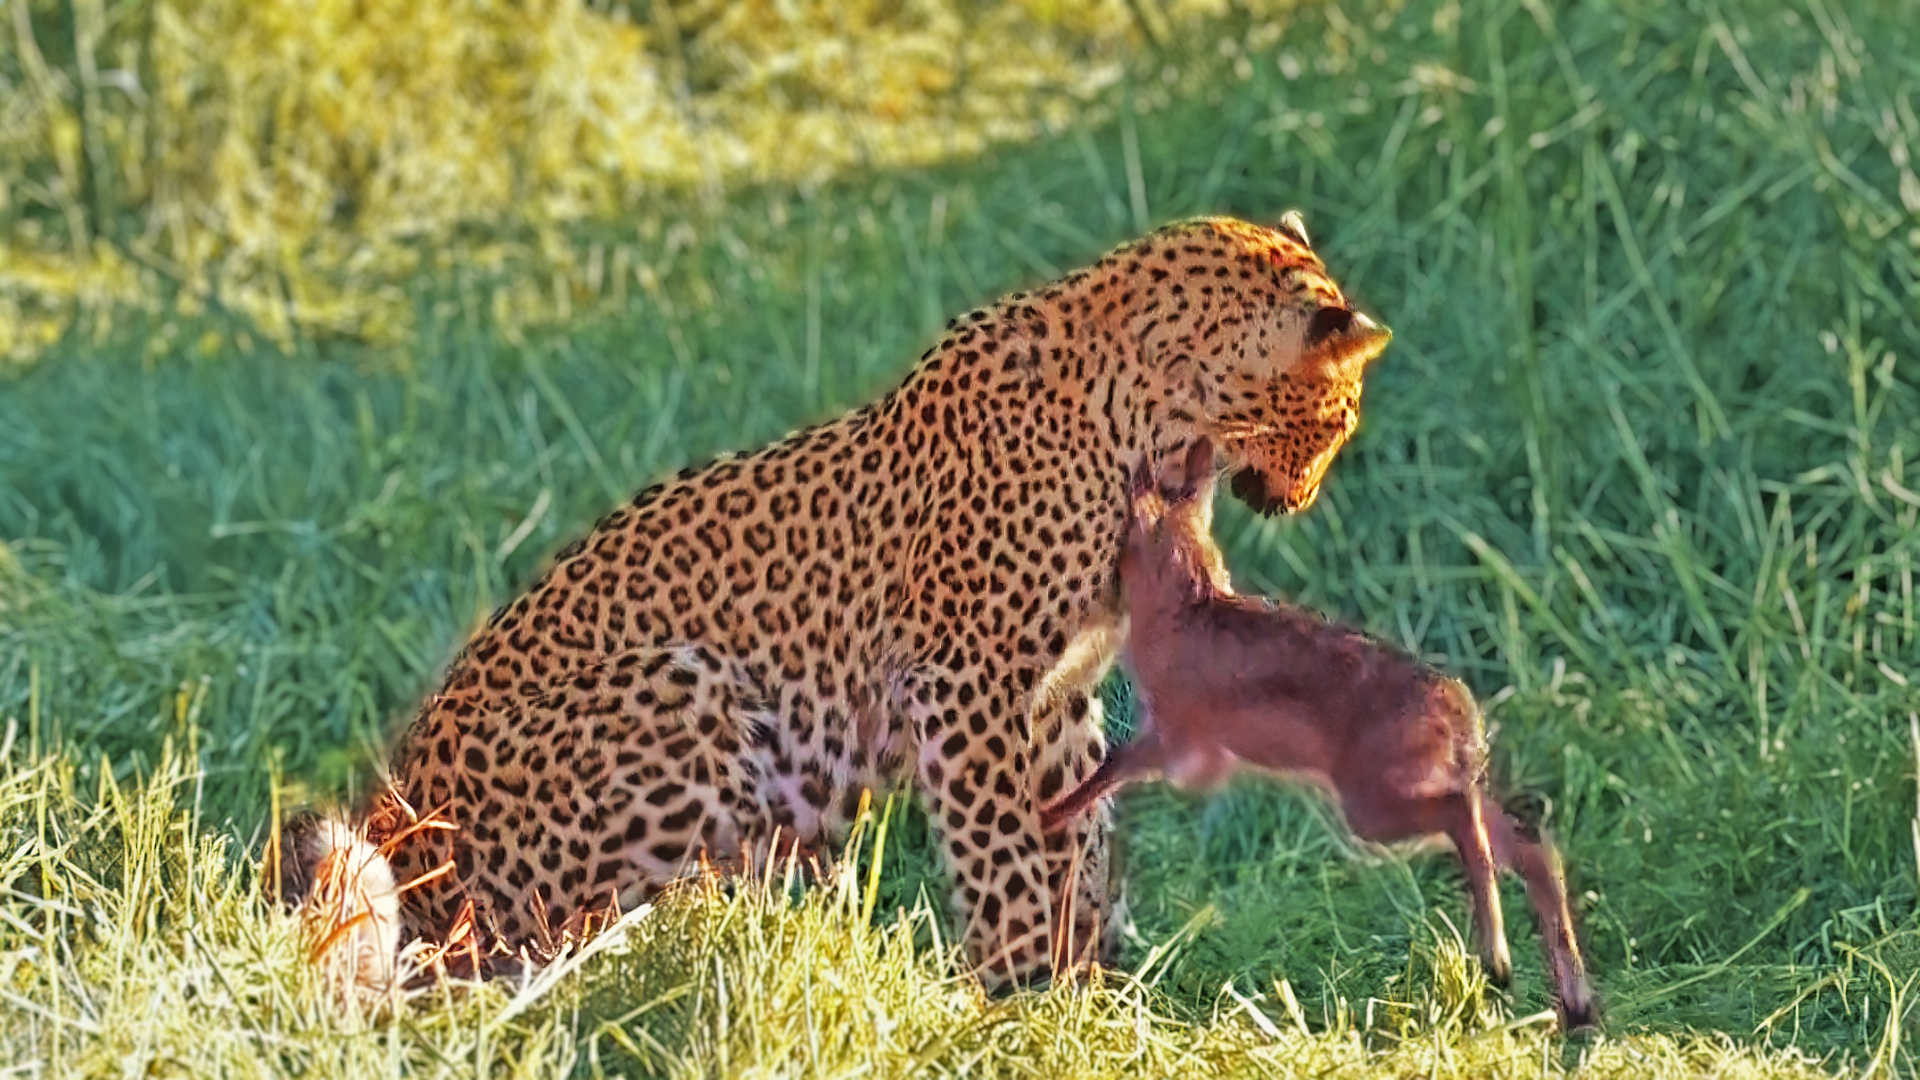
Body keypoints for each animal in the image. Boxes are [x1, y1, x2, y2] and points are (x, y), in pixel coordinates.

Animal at [280, 210, 1397, 983]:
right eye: (1344, 417)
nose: (1302, 498)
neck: (1161, 424)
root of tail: (399, 817)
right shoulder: (967, 681)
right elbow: (1002, 849)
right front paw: (1021, 992)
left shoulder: (1058, 692)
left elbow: (1077, 832)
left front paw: (1089, 980)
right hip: (685, 689)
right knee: (560, 941)